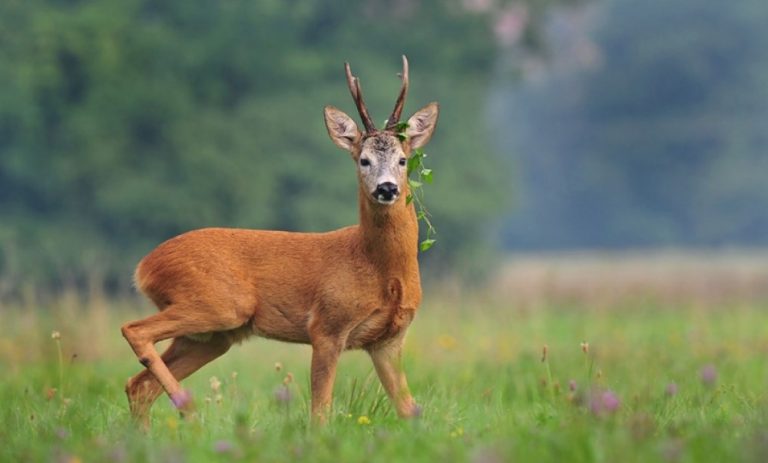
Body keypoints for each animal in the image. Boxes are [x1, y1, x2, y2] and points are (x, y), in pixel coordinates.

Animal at [122, 56, 440, 426]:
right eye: (364, 160)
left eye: (403, 160)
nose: (386, 188)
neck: (380, 269)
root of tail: (144, 267)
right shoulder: (326, 326)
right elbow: (320, 411)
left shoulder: (388, 340)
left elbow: (409, 410)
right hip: (219, 304)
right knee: (134, 331)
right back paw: (189, 408)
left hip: (212, 335)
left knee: (139, 385)